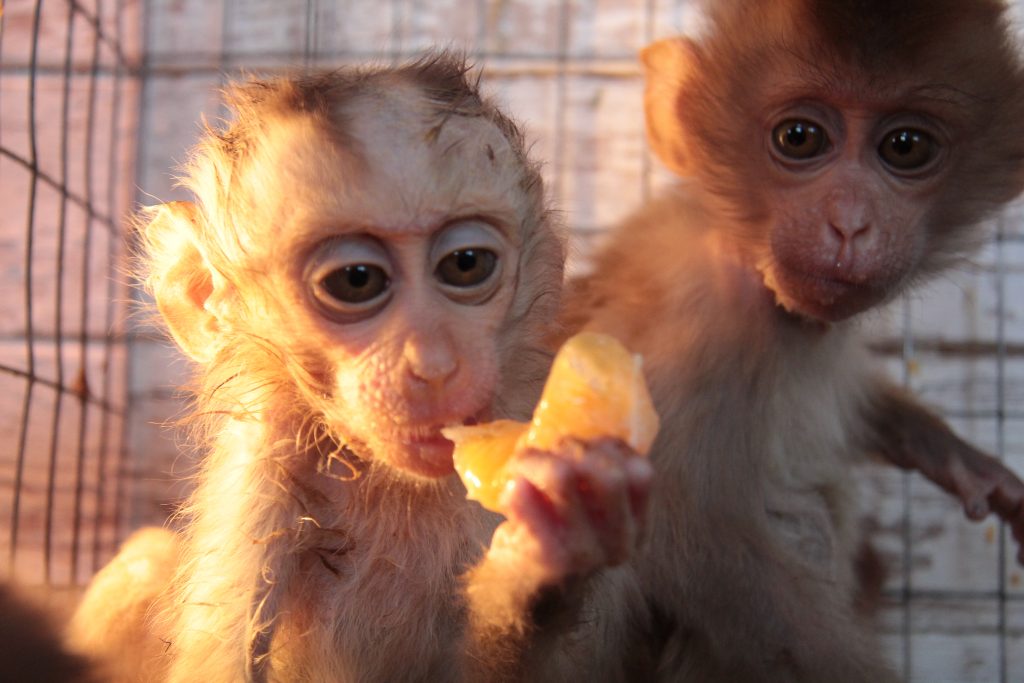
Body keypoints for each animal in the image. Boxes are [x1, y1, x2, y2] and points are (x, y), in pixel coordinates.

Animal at [68, 54, 651, 683]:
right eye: (356, 280)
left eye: (466, 264)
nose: (434, 366)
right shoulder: (259, 462)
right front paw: (546, 559)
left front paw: (544, 563)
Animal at [561, 0, 1024, 679]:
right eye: (799, 138)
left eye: (906, 146)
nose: (850, 224)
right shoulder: (702, 325)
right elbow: (680, 527)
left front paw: (959, 458)